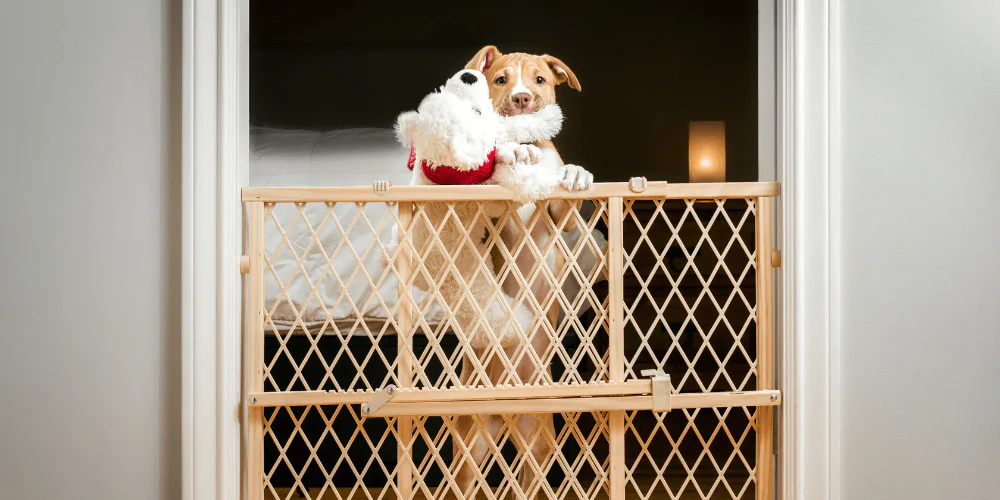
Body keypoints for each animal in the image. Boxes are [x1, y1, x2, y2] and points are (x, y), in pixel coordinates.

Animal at [454, 46, 592, 496]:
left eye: (539, 79)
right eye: (501, 80)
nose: (521, 98)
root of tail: (507, 413)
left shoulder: (561, 218)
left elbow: (563, 196)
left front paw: (575, 173)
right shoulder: (491, 215)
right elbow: (496, 183)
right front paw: (512, 156)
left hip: (538, 444)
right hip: (470, 445)